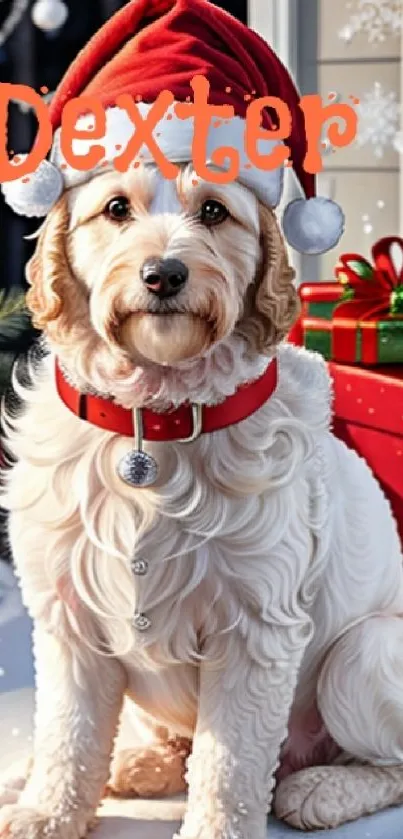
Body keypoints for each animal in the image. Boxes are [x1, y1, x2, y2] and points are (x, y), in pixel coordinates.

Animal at [2, 159, 403, 839]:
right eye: (116, 208)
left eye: (215, 211)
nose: (163, 274)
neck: (155, 419)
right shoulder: (68, 618)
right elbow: (67, 733)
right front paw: (48, 812)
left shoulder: (256, 632)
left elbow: (229, 764)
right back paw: (138, 762)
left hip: (365, 652)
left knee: (388, 763)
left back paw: (323, 789)